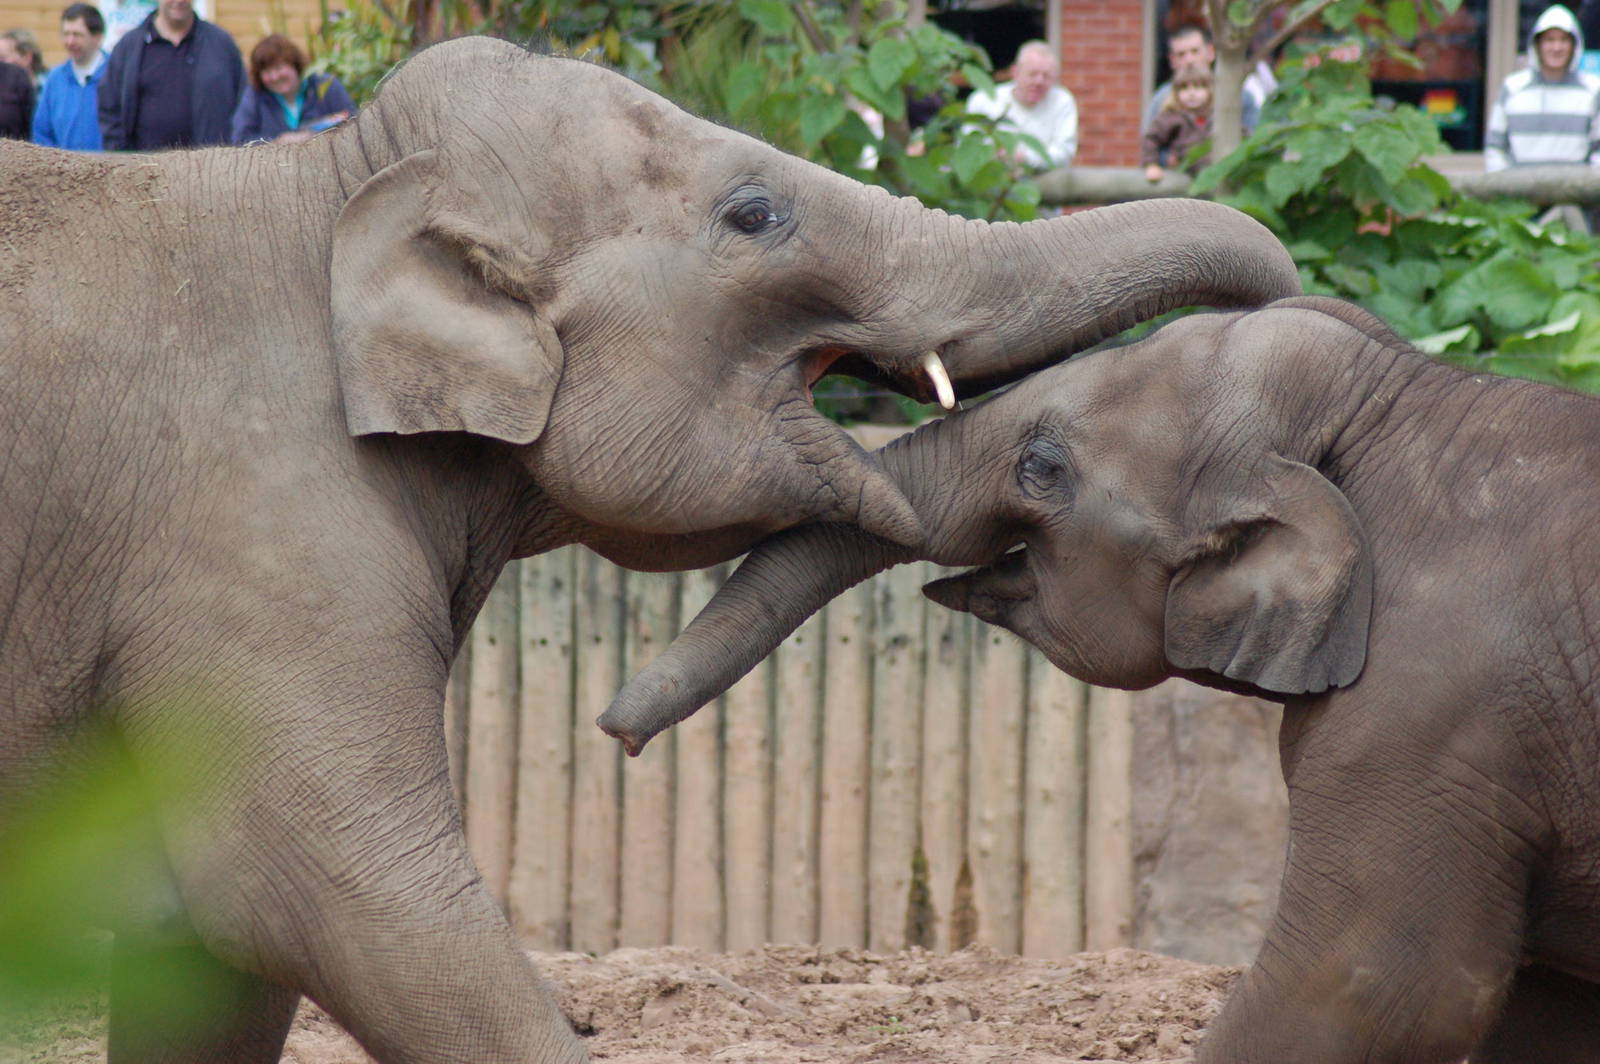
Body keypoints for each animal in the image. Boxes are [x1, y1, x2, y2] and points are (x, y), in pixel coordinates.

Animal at [0, 33, 1300, 1064]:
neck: (328, 180)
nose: (615, 730)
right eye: (754, 214)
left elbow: (208, 946)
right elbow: (324, 891)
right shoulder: (252, 516)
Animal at [601, 295, 1600, 1063]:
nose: (615, 732)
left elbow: (1372, 984)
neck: (1401, 398)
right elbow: (1546, 1012)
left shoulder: (1431, 719)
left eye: (1042, 467)